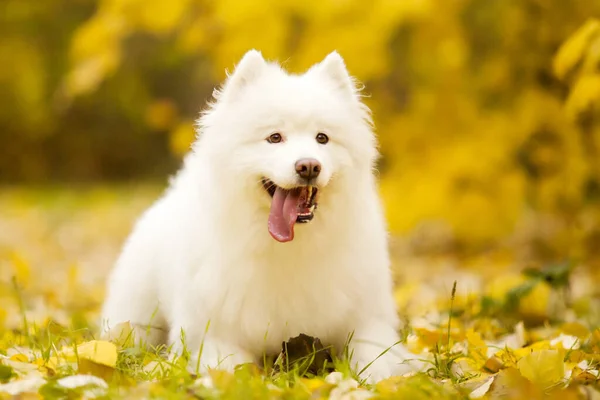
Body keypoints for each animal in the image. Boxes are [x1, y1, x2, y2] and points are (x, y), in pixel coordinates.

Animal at [102, 50, 422, 382]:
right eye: (274, 138)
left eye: (322, 138)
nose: (309, 166)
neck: (289, 247)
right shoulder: (215, 334)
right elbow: (232, 370)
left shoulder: (367, 318)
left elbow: (377, 356)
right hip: (136, 314)